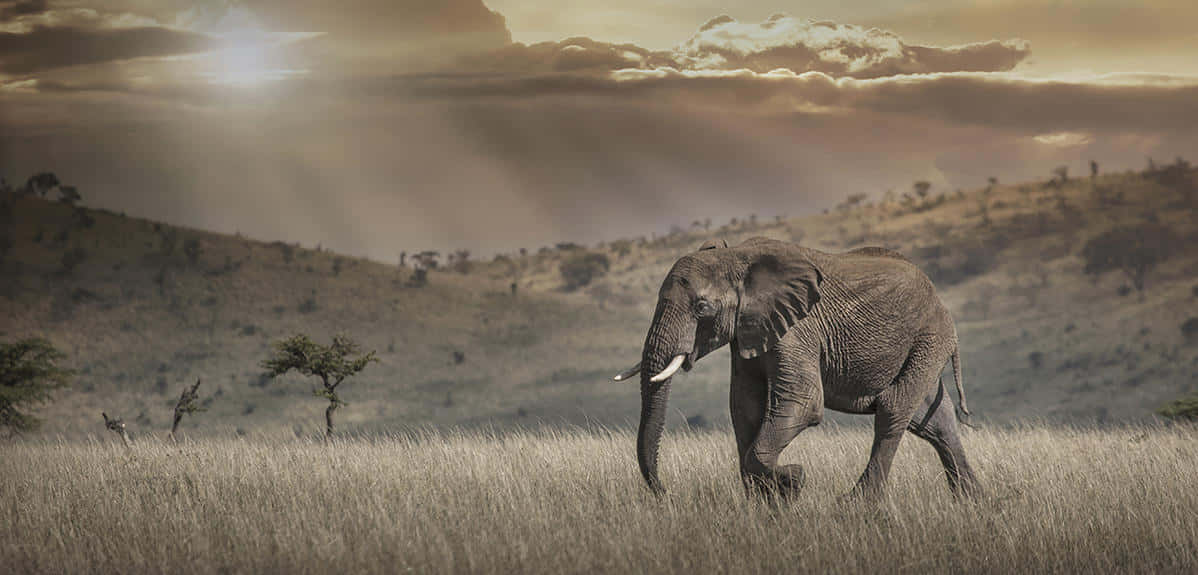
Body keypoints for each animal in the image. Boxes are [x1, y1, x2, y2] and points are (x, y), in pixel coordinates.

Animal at [612, 237, 980, 499]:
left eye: (702, 307)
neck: (739, 257)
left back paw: (857, 503)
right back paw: (972, 501)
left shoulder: (798, 328)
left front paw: (794, 479)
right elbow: (744, 406)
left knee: (894, 408)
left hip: (930, 336)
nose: (665, 492)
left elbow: (803, 403)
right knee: (933, 420)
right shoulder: (748, 332)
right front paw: (770, 503)